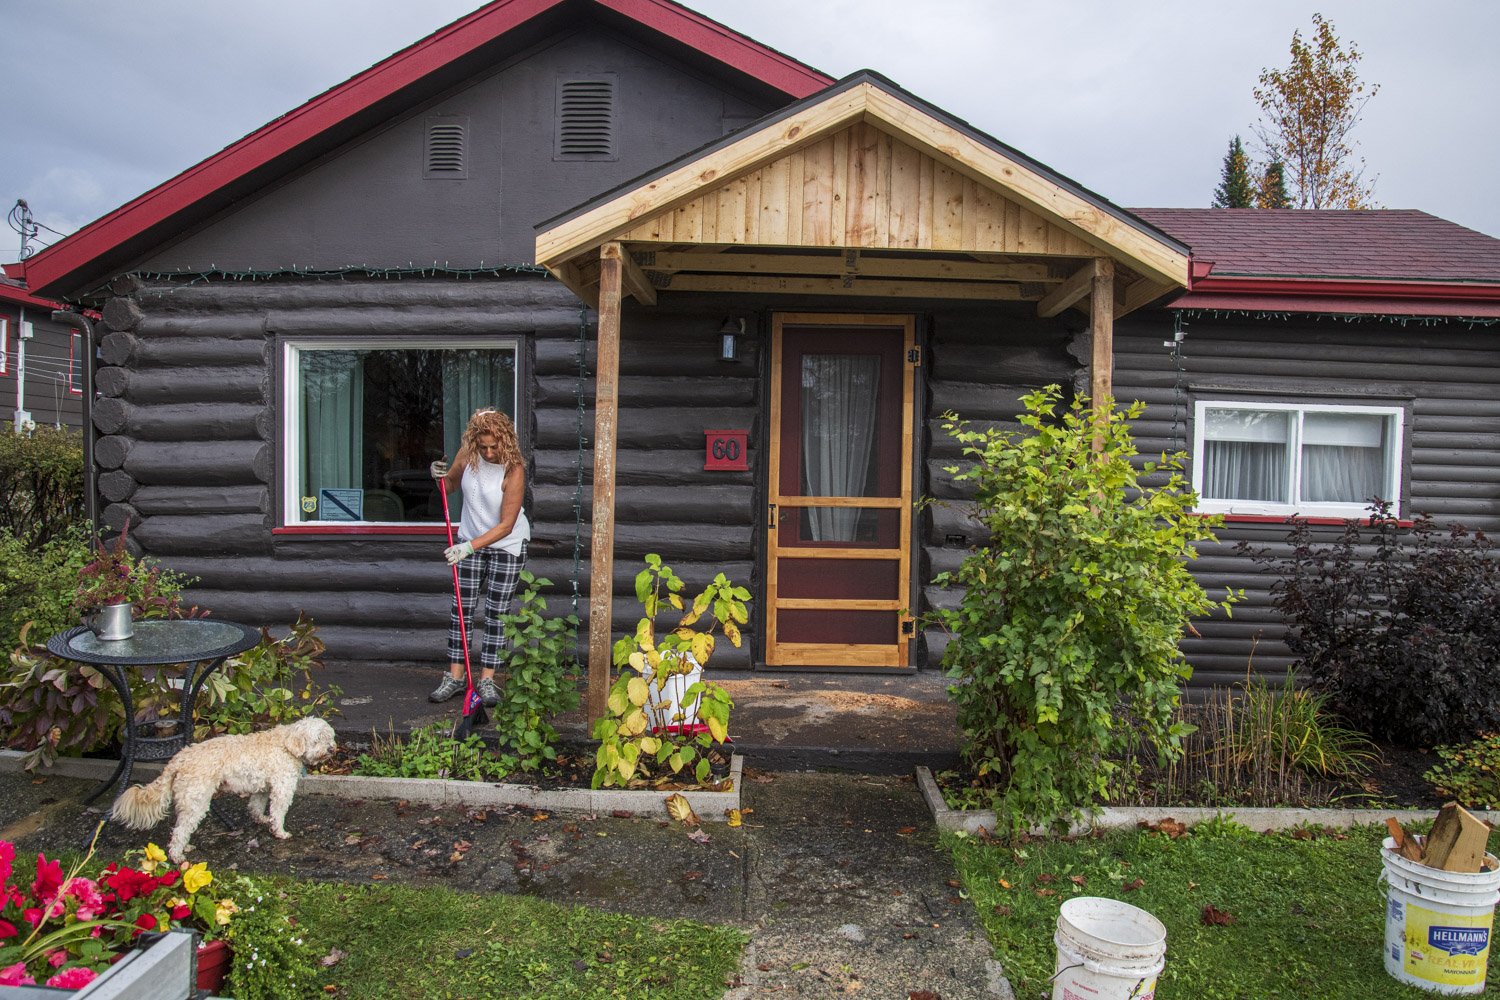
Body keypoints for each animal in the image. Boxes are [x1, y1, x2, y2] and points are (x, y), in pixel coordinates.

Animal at [111, 719, 337, 863]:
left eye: (329, 738)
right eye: (317, 739)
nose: (332, 748)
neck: (286, 744)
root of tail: (180, 758)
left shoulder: (263, 788)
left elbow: (257, 807)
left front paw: (263, 820)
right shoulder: (282, 787)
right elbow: (279, 812)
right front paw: (280, 832)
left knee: (180, 828)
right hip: (197, 802)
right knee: (180, 831)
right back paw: (177, 856)